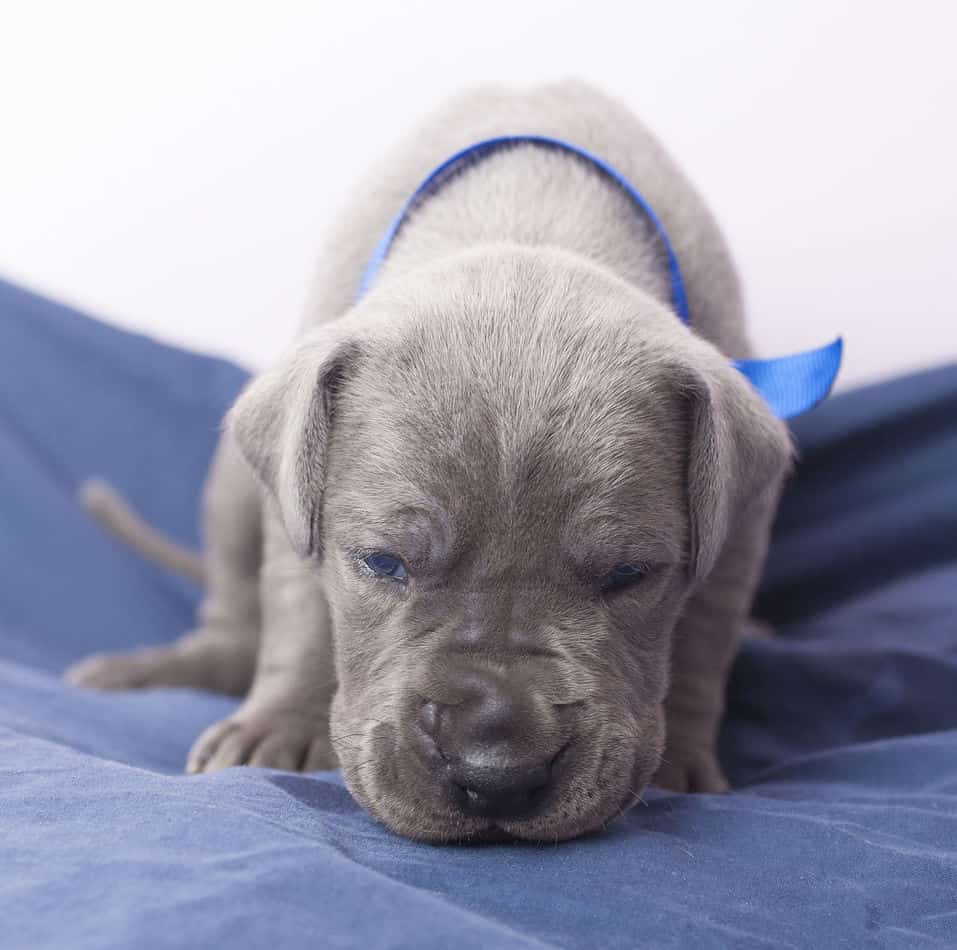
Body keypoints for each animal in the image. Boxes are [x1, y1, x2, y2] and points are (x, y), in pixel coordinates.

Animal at [69, 80, 792, 840]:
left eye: (629, 575)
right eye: (383, 563)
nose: (498, 775)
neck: (528, 215)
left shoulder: (737, 523)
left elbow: (705, 635)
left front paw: (681, 761)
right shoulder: (297, 493)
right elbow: (299, 611)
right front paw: (282, 725)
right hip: (236, 487)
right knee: (235, 619)